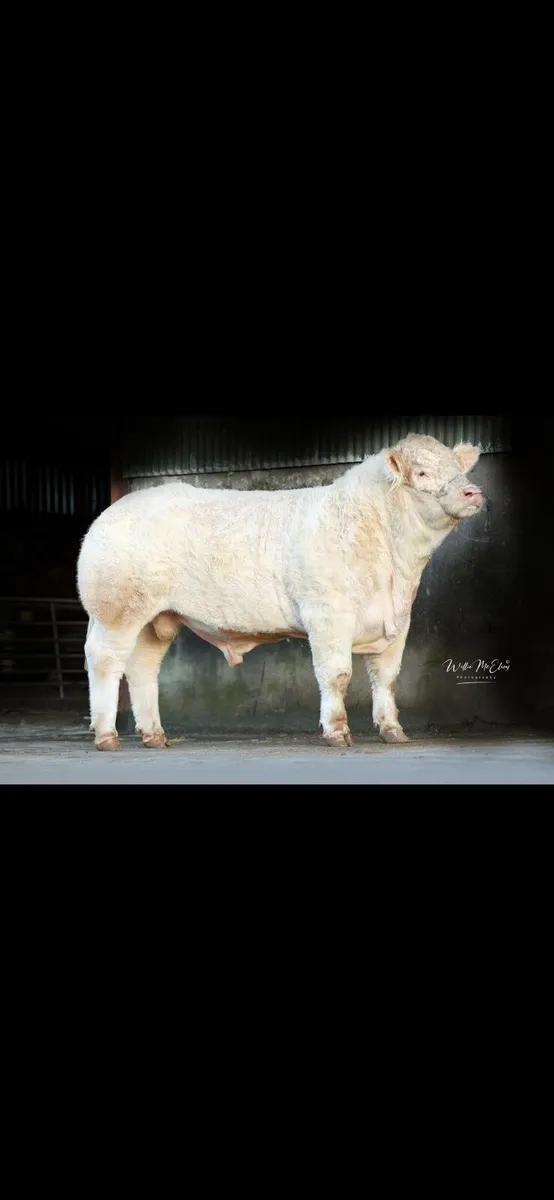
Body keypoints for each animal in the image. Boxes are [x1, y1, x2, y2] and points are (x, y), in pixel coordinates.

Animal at [77, 434, 484, 751]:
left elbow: (386, 678)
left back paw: (155, 735)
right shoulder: (327, 615)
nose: (473, 491)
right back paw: (107, 736)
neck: (395, 569)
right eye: (422, 473)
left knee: (143, 667)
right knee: (106, 661)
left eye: (458, 468)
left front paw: (393, 731)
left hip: (158, 619)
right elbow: (336, 675)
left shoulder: (399, 621)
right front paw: (337, 732)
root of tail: (112, 512)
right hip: (117, 610)